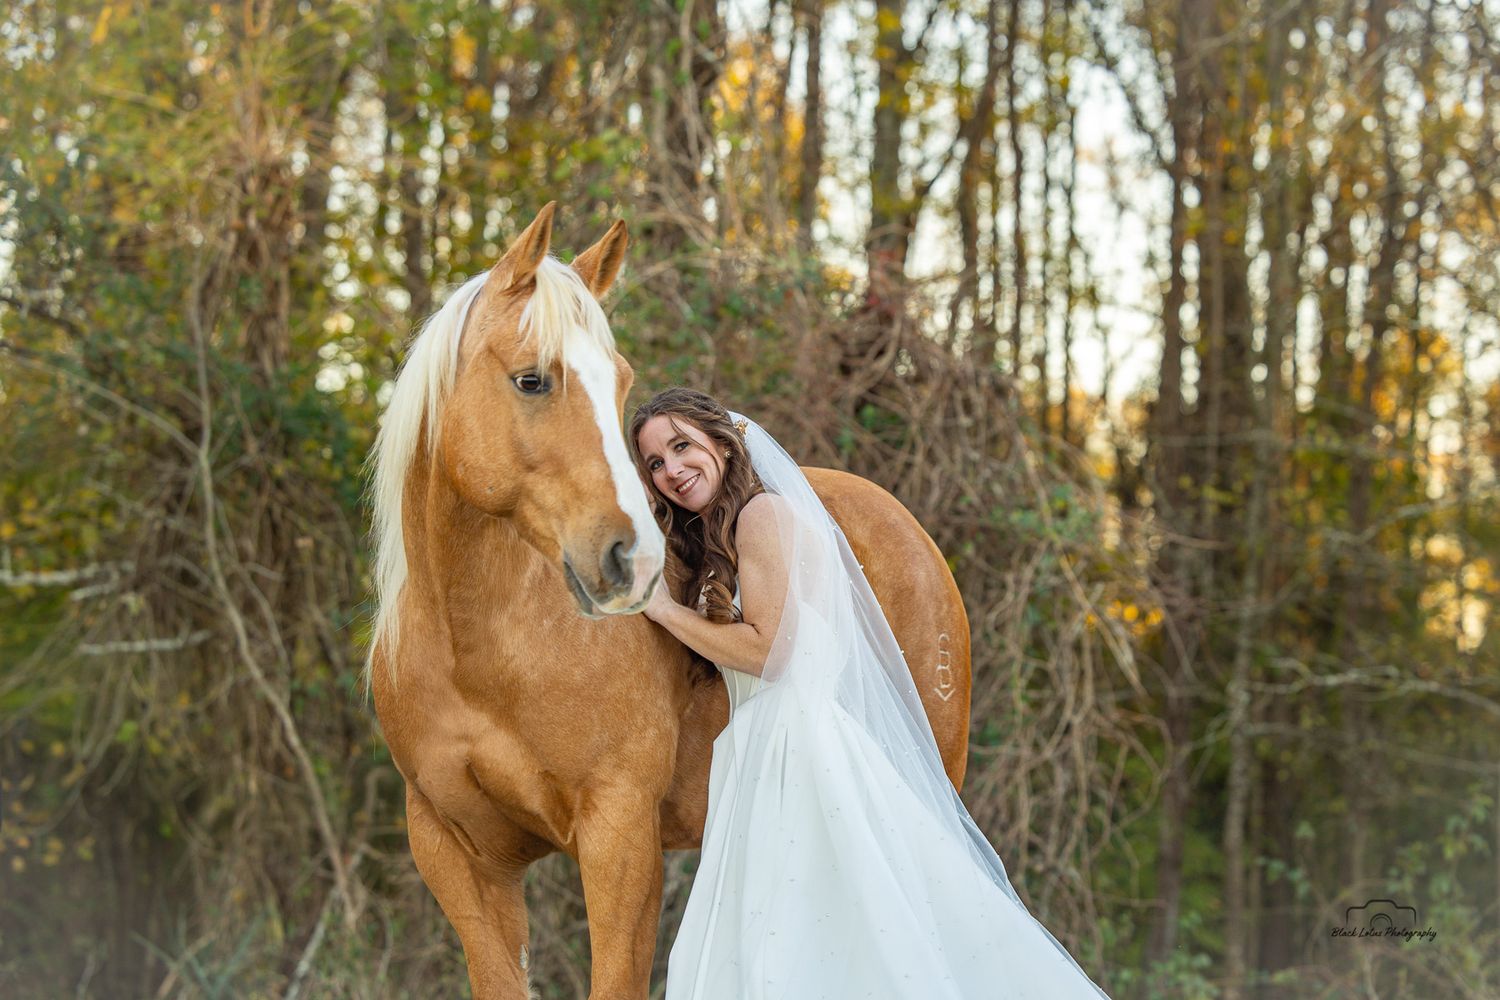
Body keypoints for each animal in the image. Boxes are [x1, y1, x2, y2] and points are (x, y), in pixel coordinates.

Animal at [368, 203, 973, 1000]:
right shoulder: (458, 856)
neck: (476, 648)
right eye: (532, 380)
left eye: (620, 382)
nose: (636, 561)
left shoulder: (620, 838)